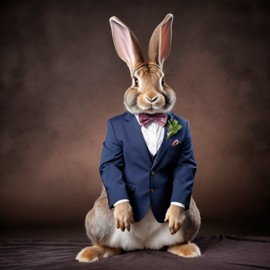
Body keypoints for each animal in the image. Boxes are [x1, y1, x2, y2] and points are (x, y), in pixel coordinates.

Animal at [76, 13, 200, 262]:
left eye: (163, 81)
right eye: (135, 81)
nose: (152, 97)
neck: (150, 119)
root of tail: (144, 244)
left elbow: (185, 167)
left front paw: (173, 216)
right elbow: (110, 165)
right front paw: (124, 215)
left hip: (191, 214)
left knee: (173, 239)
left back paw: (187, 249)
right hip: (100, 219)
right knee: (111, 246)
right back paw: (89, 253)